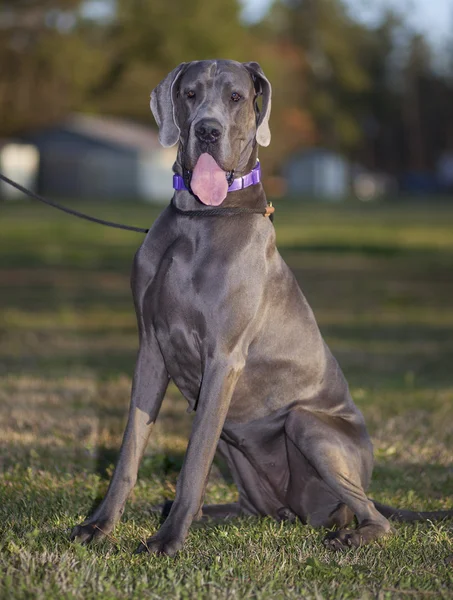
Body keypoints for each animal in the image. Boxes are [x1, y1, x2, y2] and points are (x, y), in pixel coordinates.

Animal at [70, 58, 452, 556]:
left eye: (236, 97)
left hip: (307, 425)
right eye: (190, 94)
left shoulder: (223, 358)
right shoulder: (151, 349)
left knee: (375, 518)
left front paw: (168, 540)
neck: (200, 218)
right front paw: (100, 525)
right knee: (251, 508)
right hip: (239, 454)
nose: (207, 130)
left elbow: (193, 462)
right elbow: (129, 451)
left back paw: (349, 536)